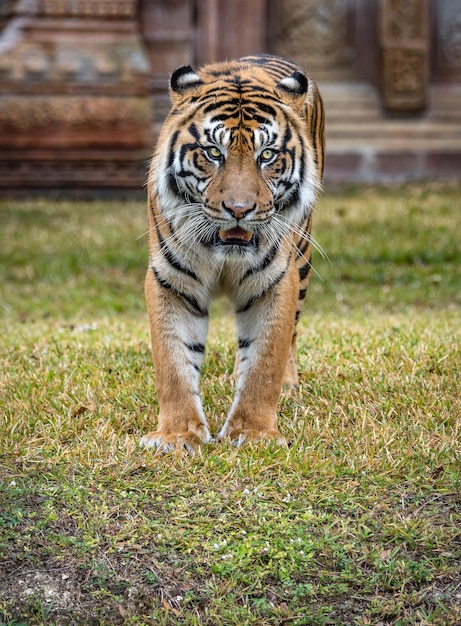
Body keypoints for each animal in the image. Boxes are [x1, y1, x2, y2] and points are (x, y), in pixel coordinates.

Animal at [140, 53, 324, 450]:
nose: (239, 209)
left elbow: (266, 361)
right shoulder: (171, 280)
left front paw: (253, 433)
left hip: (302, 256)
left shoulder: (276, 280)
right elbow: (173, 363)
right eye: (213, 153)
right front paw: (177, 434)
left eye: (266, 155)